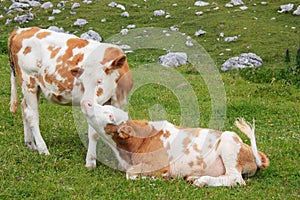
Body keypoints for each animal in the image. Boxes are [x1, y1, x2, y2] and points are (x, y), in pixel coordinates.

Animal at [81, 101, 268, 188]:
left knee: (235, 179)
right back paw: (194, 177)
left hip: (229, 143)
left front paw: (160, 177)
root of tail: (252, 153)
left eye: (110, 115)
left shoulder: (157, 163)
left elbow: (131, 174)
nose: (87, 102)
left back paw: (202, 181)